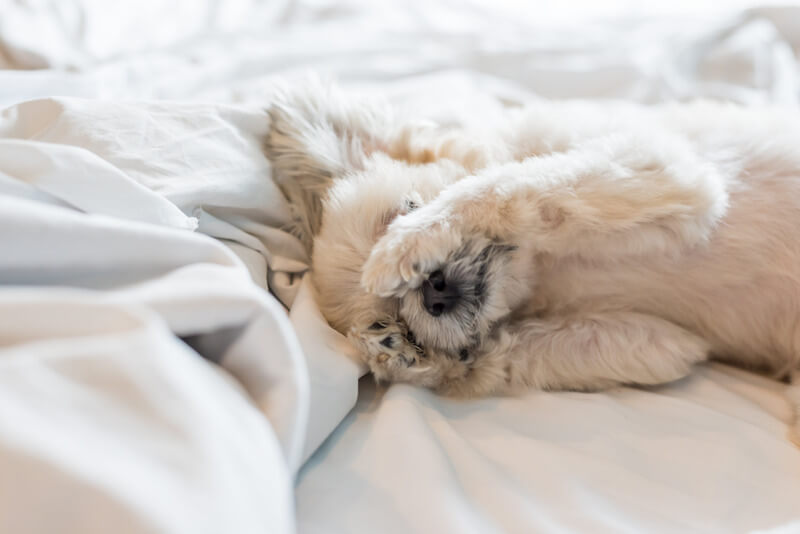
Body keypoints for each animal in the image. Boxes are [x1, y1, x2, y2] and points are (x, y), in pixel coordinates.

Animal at [264, 82, 800, 444]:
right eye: (408, 328)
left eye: (408, 207)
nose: (432, 290)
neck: (540, 269)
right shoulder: (658, 344)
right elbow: (504, 354)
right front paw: (402, 359)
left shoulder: (661, 166)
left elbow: (510, 181)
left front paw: (412, 242)